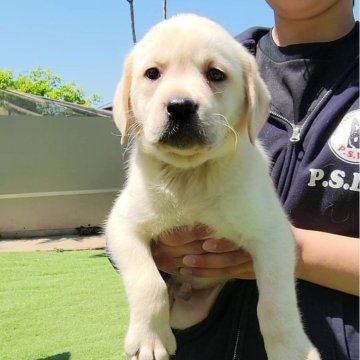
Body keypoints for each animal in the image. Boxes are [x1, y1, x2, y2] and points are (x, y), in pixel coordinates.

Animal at [106, 13, 320, 360]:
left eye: (215, 74)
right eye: (152, 74)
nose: (180, 106)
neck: (191, 175)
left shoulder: (273, 234)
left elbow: (276, 302)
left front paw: (291, 349)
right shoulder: (122, 225)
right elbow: (147, 282)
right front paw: (149, 339)